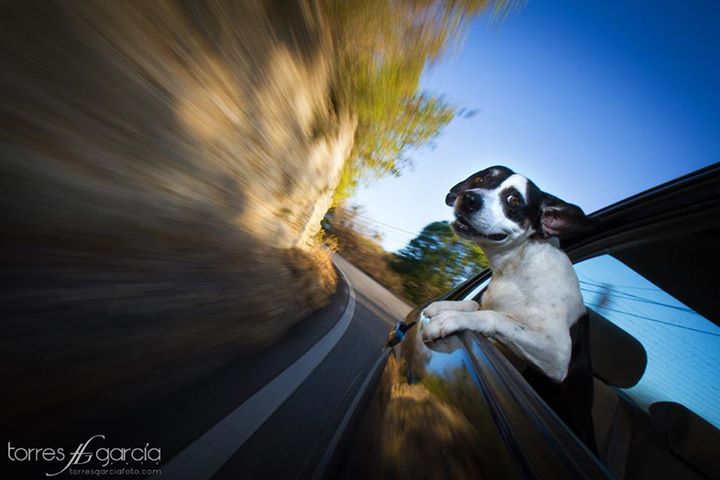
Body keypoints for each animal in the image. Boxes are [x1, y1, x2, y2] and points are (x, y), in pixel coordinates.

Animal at [422, 165, 596, 450]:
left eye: (514, 200)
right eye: (482, 179)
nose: (469, 198)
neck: (518, 265)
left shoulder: (557, 354)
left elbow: (496, 317)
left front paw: (450, 318)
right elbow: (474, 304)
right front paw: (446, 306)